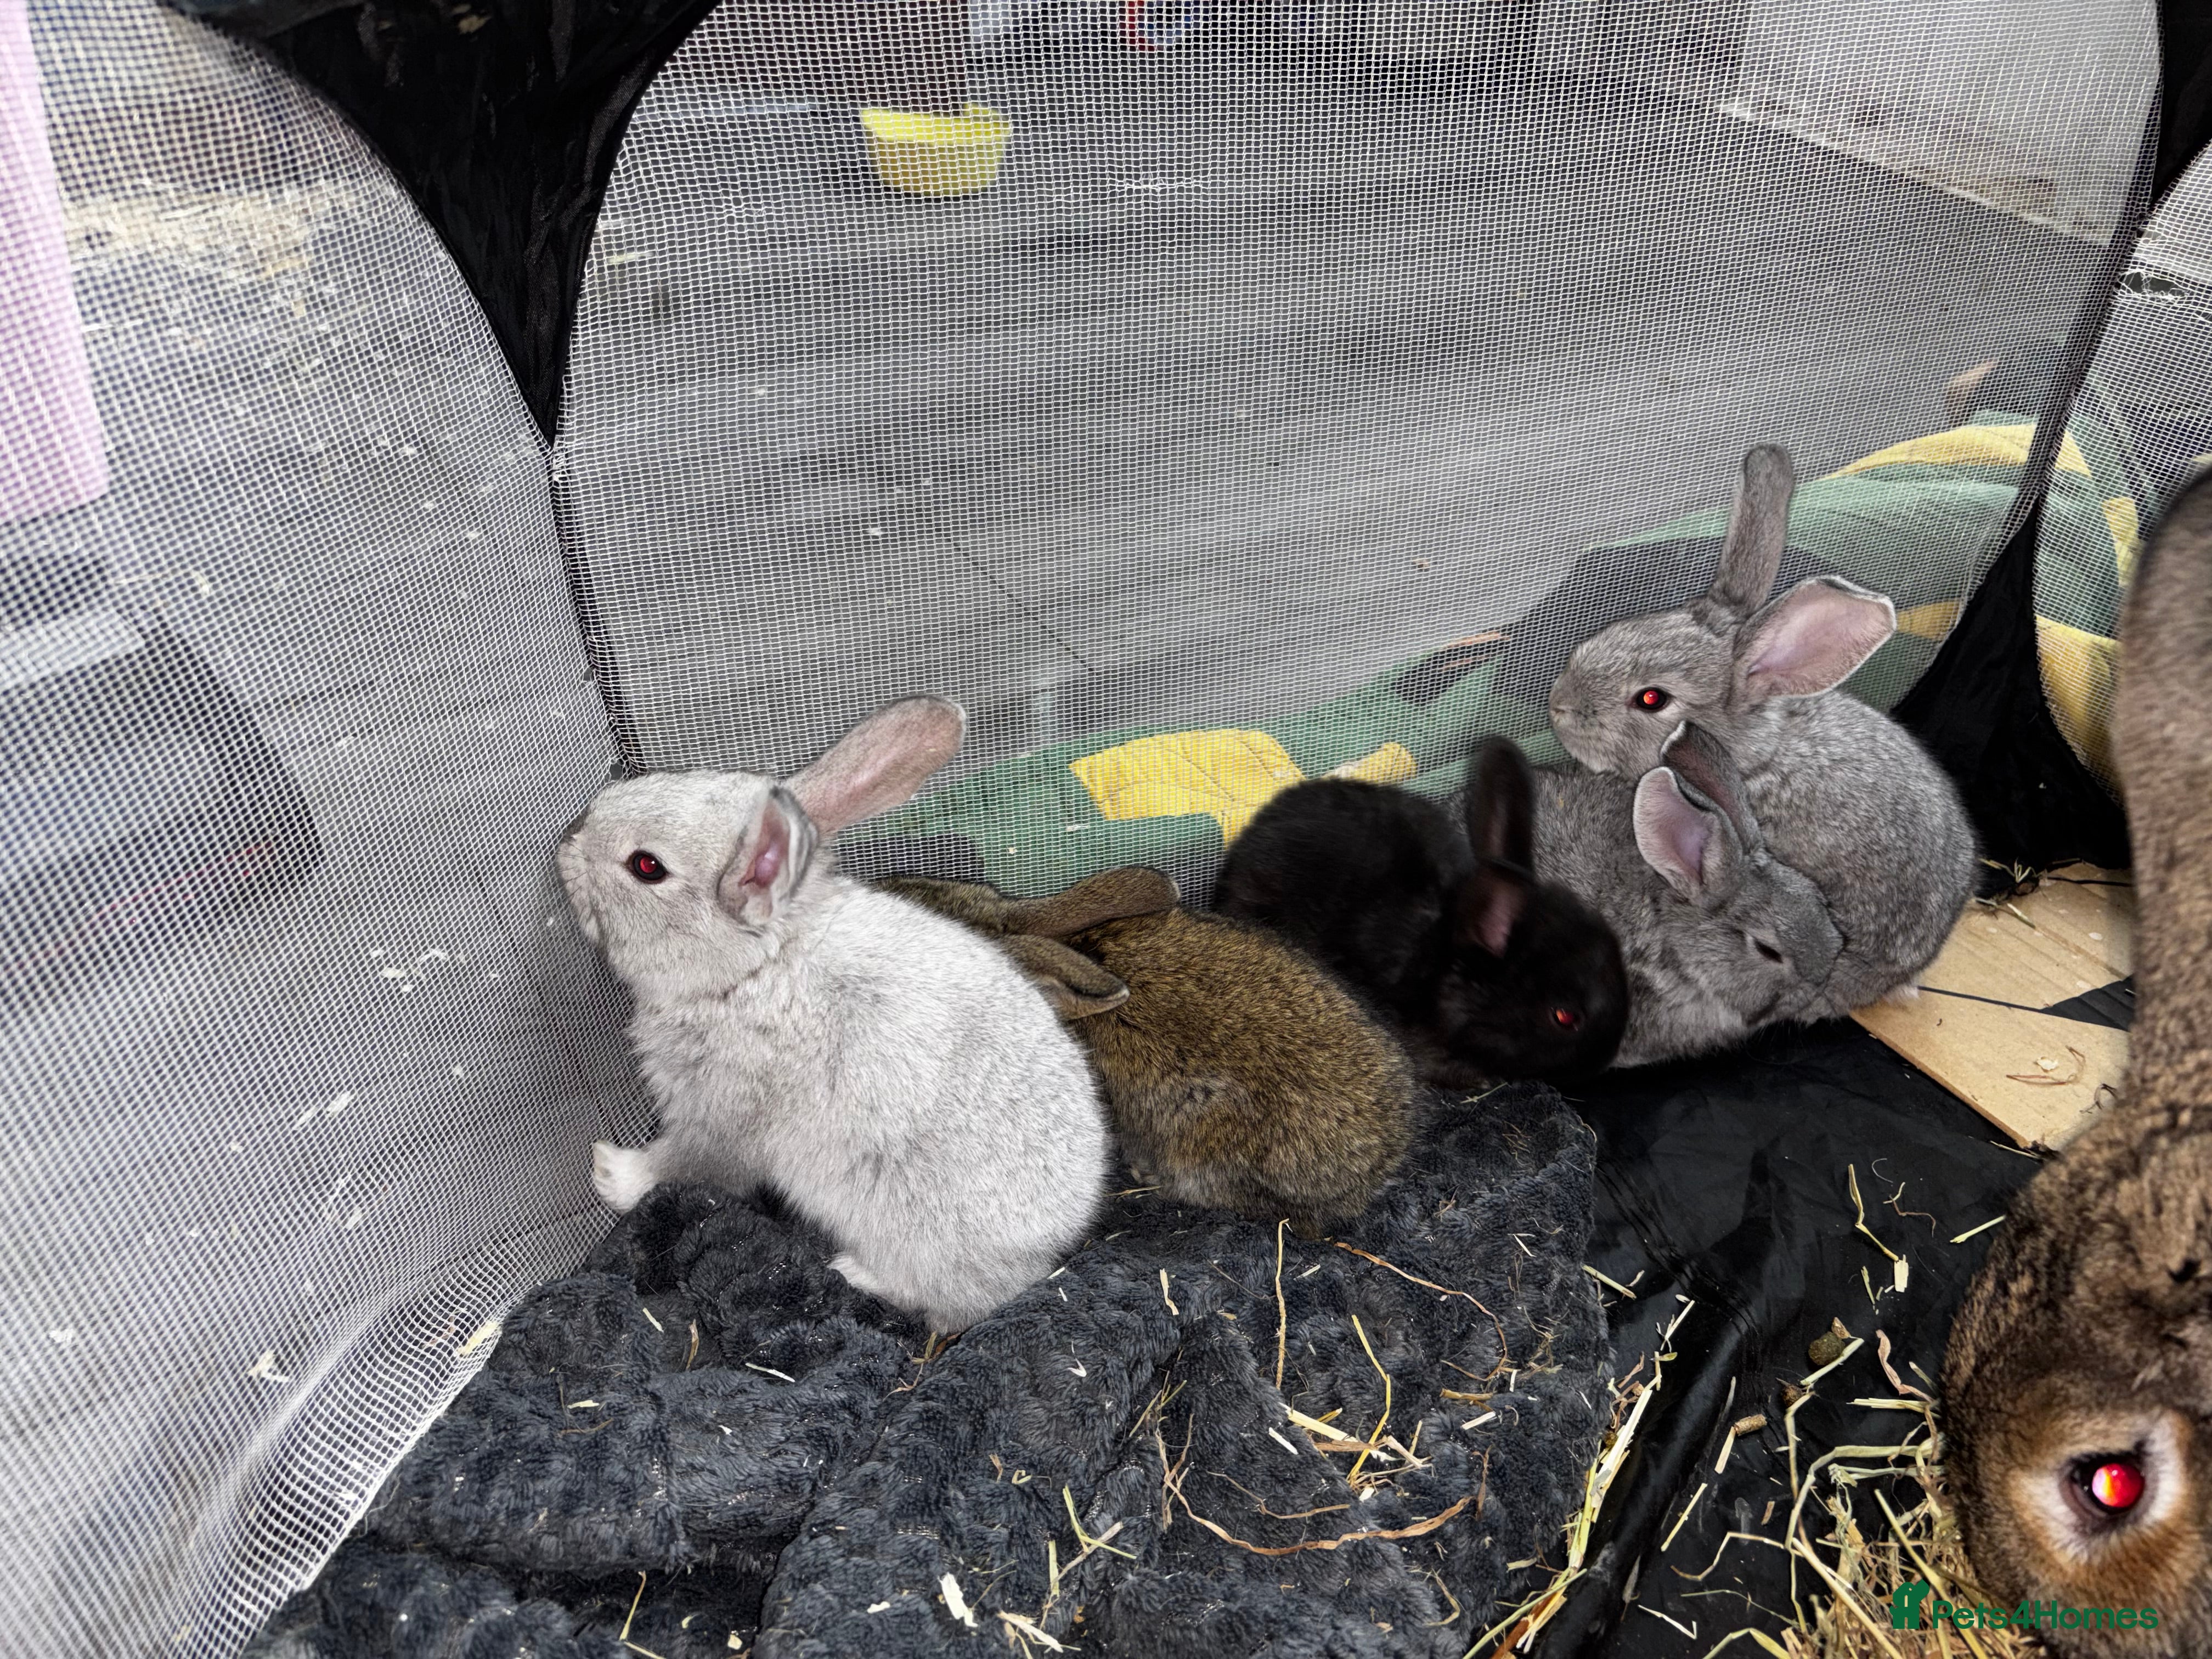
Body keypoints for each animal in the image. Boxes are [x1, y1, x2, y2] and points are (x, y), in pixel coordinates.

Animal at [555, 696, 1110, 1336]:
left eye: (646, 867)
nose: (569, 840)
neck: (753, 969)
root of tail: (1054, 1244)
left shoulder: (720, 1114)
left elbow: (682, 1167)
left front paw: (609, 1171)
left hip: (907, 1232)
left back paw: (852, 1272)